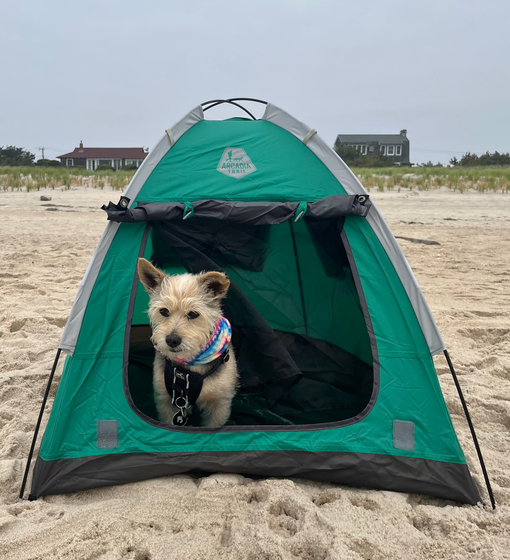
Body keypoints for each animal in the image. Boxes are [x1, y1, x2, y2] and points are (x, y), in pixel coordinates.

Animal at [135, 260, 239, 428]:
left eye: (193, 314)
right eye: (164, 311)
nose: (171, 340)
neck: (192, 362)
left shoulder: (219, 406)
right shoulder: (166, 401)